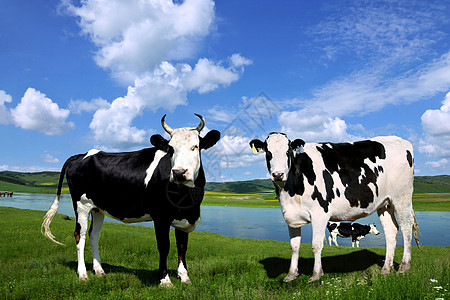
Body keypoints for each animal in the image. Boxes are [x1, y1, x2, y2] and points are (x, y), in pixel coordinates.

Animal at [41, 114, 221, 286]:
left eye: (195, 147)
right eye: (171, 149)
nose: (178, 172)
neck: (187, 200)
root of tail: (82, 155)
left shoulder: (184, 218)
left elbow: (182, 247)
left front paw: (184, 277)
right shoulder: (160, 217)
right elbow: (164, 246)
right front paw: (165, 280)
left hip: (98, 208)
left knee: (93, 235)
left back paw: (99, 270)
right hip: (81, 205)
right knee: (80, 234)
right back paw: (83, 274)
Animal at [251, 134, 420, 284]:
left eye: (287, 152)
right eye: (268, 152)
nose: (278, 174)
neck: (291, 190)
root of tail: (400, 140)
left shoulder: (320, 214)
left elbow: (316, 245)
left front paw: (316, 274)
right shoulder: (291, 216)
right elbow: (294, 246)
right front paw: (291, 275)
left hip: (402, 198)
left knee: (406, 227)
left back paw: (404, 267)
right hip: (385, 203)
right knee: (391, 231)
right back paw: (386, 269)